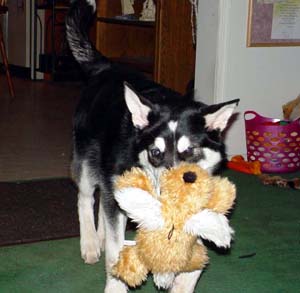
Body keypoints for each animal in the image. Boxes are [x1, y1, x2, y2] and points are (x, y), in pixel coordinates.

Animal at [66, 1, 239, 290]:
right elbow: (116, 250)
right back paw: (90, 243)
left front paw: (182, 283)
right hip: (87, 157)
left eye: (190, 151)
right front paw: (116, 284)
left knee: (104, 200)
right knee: (86, 197)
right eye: (155, 152)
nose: (172, 192)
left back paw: (99, 236)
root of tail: (106, 67)